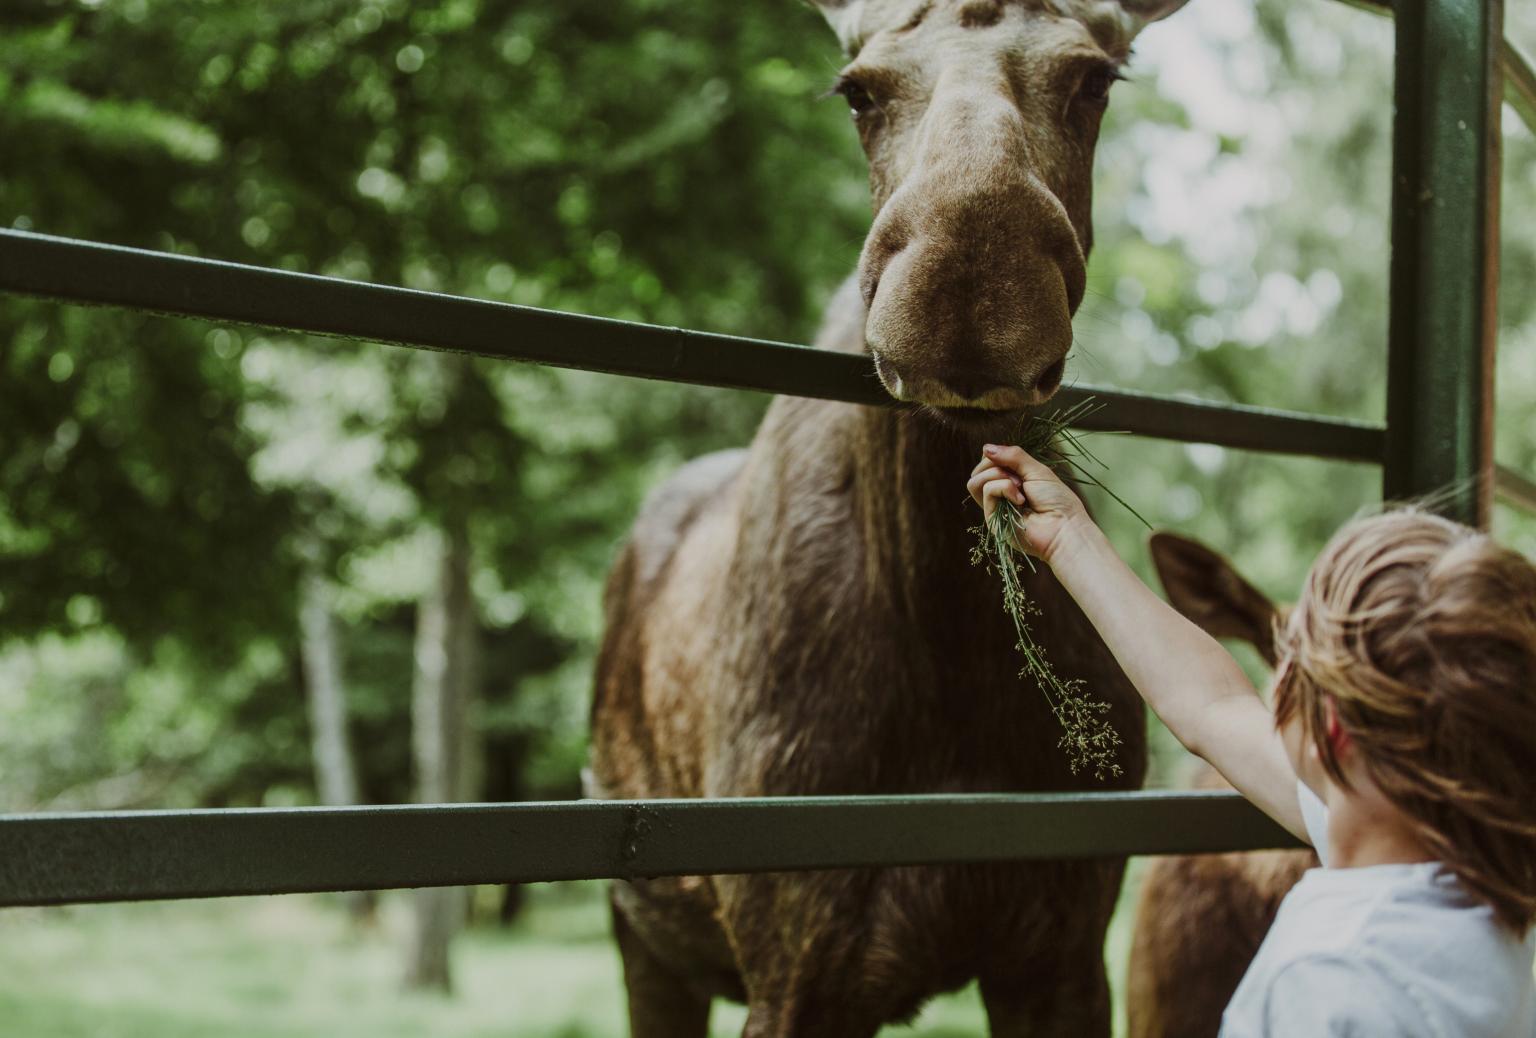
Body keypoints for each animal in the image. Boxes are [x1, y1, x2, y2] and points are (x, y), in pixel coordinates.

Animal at [589, 2, 1192, 1035]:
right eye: (857, 91)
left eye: (1094, 79)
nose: (971, 281)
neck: (946, 642)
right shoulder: (795, 963)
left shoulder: (1065, 944)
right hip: (644, 938)